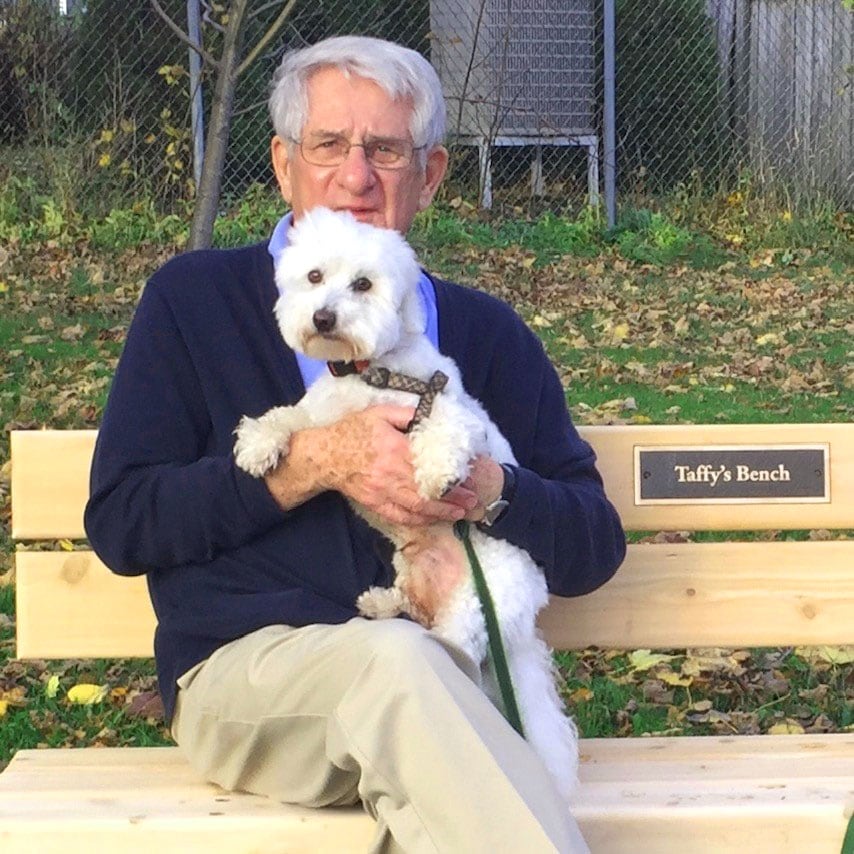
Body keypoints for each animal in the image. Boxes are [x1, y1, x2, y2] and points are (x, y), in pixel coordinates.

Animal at [234, 207, 580, 804]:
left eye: (364, 284)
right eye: (314, 276)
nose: (323, 318)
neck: (369, 371)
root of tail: (521, 631)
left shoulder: (447, 410)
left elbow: (446, 430)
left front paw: (436, 472)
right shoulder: (322, 419)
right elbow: (288, 419)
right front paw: (259, 444)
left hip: (477, 604)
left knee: (452, 646)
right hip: (411, 567)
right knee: (414, 610)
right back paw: (382, 604)